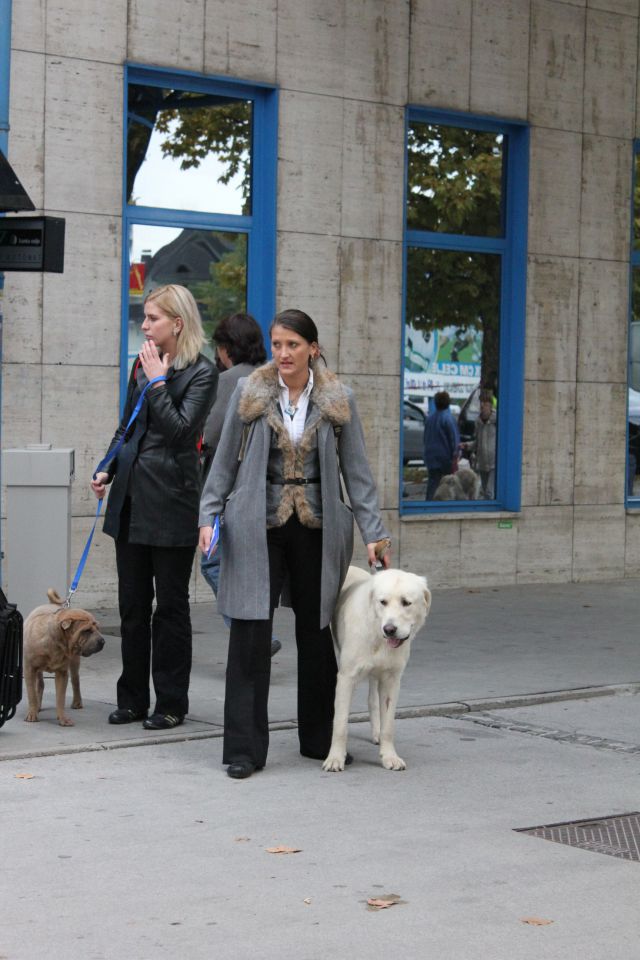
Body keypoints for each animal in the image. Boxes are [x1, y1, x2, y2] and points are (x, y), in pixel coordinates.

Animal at [23, 584, 104, 728]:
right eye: (87, 631)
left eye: (98, 628)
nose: (103, 641)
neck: (56, 642)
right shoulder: (29, 669)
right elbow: (31, 693)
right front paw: (32, 713)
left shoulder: (62, 673)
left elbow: (60, 698)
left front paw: (62, 718)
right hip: (37, 669)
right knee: (40, 684)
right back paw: (38, 706)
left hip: (75, 662)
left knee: (75, 680)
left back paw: (77, 702)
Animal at [322, 568, 432, 772]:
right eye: (383, 602)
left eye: (406, 602)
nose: (389, 629)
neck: (378, 636)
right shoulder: (346, 678)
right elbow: (340, 724)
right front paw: (335, 758)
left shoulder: (391, 680)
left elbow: (388, 725)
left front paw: (389, 756)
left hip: (377, 675)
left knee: (372, 699)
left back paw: (377, 733)